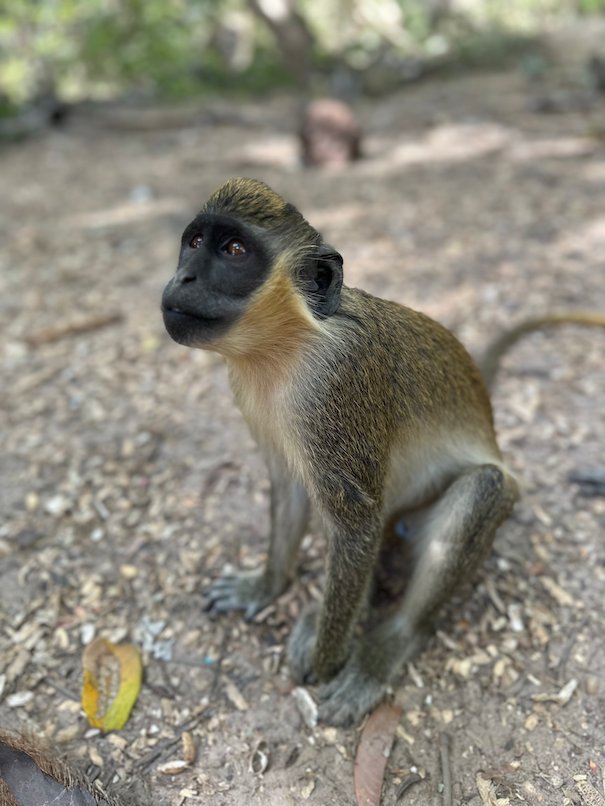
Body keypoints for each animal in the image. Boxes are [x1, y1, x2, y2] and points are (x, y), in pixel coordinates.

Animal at [161, 177, 605, 726]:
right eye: (195, 243)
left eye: (235, 251)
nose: (182, 276)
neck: (289, 344)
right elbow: (289, 487)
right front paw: (266, 586)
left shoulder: (335, 384)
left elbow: (355, 524)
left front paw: (328, 661)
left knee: (483, 486)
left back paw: (385, 644)